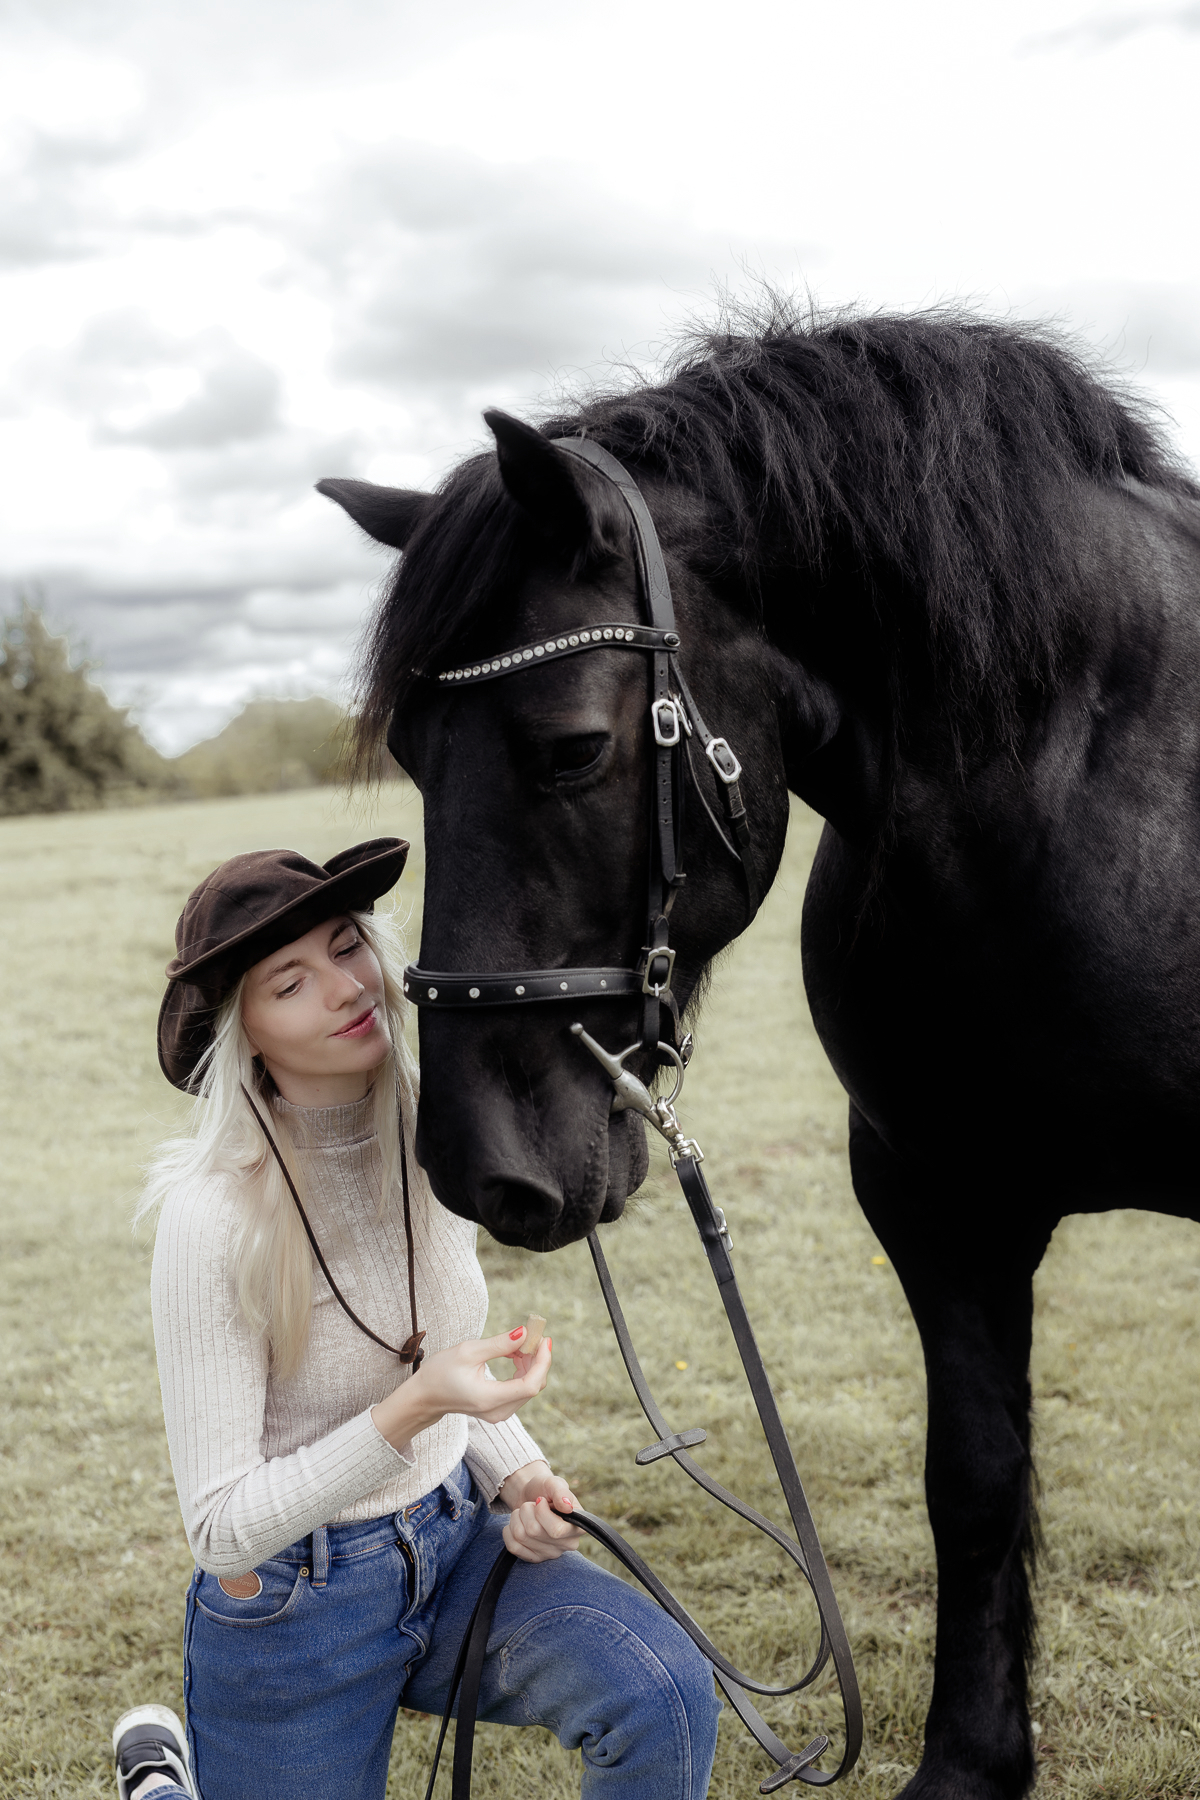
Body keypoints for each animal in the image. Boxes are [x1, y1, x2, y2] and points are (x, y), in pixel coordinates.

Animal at [318, 304, 1200, 1800]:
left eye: (573, 749)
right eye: (418, 757)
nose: (479, 1164)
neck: (1100, 781)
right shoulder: (936, 1204)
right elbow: (975, 1482)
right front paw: (971, 1763)